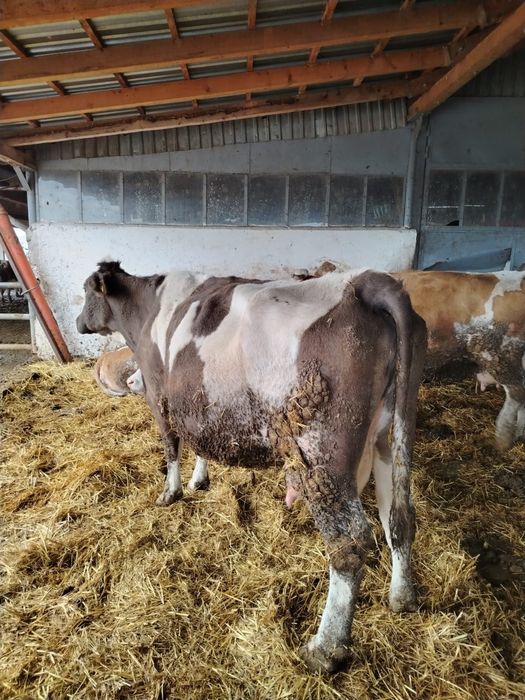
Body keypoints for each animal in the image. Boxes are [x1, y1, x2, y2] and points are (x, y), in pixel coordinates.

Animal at [77, 261, 426, 672]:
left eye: (87, 291)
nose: (79, 322)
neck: (148, 308)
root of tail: (363, 282)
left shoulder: (158, 395)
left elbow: (171, 446)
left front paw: (170, 492)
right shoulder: (197, 403)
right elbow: (200, 442)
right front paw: (199, 479)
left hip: (321, 455)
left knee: (350, 543)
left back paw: (325, 648)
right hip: (391, 434)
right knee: (398, 517)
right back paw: (401, 597)